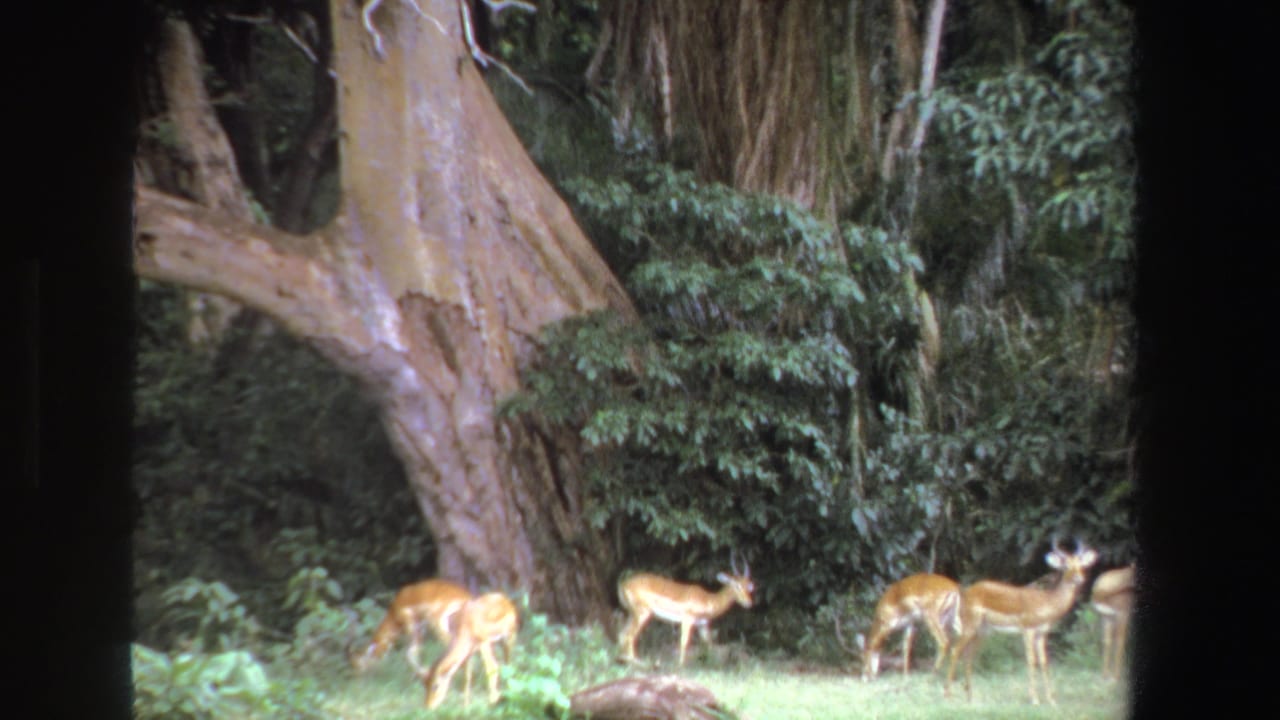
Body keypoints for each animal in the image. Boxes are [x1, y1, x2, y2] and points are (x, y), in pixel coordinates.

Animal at [617, 557, 754, 666]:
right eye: (736, 585)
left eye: (747, 585)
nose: (748, 603)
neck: (707, 599)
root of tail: (624, 584)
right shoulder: (687, 619)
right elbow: (684, 641)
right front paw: (681, 665)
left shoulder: (703, 625)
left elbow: (709, 644)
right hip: (643, 613)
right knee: (630, 635)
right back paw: (635, 662)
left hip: (632, 614)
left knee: (622, 634)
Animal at [945, 538, 1098, 705]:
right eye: (1065, 565)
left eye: (1081, 565)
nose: (1079, 579)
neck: (1047, 602)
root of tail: (964, 593)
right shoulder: (1028, 630)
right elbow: (1031, 660)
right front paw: (1035, 699)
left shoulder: (1041, 633)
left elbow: (1044, 662)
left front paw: (1051, 700)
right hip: (969, 627)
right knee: (955, 651)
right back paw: (948, 695)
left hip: (982, 632)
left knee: (968, 656)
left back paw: (971, 698)